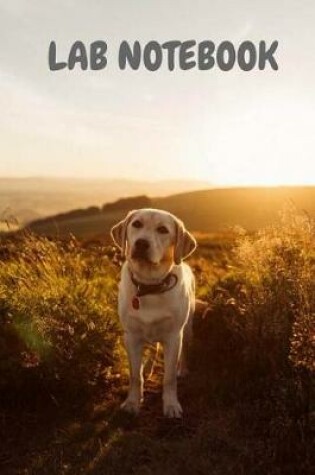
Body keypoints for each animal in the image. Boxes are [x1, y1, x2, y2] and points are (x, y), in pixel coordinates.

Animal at [110, 207, 196, 416]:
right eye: (137, 224)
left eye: (163, 230)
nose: (141, 243)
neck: (149, 286)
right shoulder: (131, 336)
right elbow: (135, 376)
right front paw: (132, 402)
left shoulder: (173, 337)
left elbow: (169, 377)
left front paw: (171, 405)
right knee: (152, 349)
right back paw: (147, 368)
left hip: (187, 328)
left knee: (184, 351)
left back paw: (183, 369)